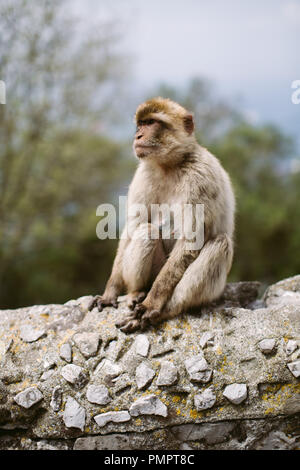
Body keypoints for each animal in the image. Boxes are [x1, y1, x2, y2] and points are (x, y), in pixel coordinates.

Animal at [88, 97, 236, 332]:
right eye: (140, 124)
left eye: (151, 123)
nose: (138, 135)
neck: (170, 165)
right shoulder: (143, 174)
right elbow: (132, 229)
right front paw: (110, 292)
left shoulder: (200, 178)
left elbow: (191, 241)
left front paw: (152, 305)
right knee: (146, 231)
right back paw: (136, 292)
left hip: (213, 290)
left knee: (220, 243)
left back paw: (164, 310)